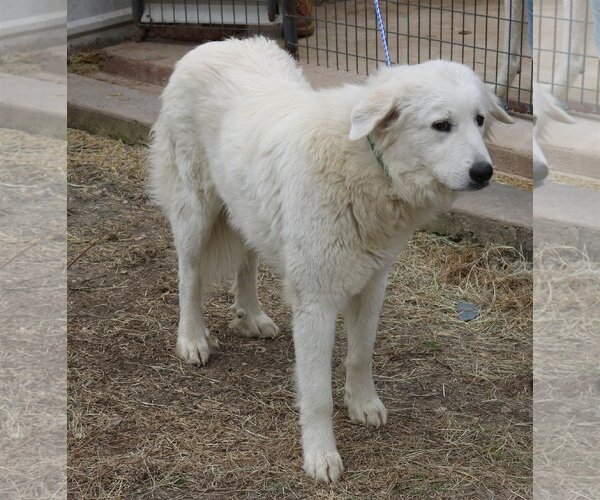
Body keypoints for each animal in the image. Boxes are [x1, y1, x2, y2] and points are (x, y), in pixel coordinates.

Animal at [149, 37, 510, 482]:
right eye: (441, 125)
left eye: (479, 120)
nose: (484, 172)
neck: (370, 165)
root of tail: (212, 44)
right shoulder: (316, 303)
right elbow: (317, 393)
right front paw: (320, 456)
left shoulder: (373, 285)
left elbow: (360, 355)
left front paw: (362, 404)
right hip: (195, 213)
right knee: (189, 276)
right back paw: (193, 338)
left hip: (247, 209)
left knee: (246, 262)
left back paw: (251, 317)